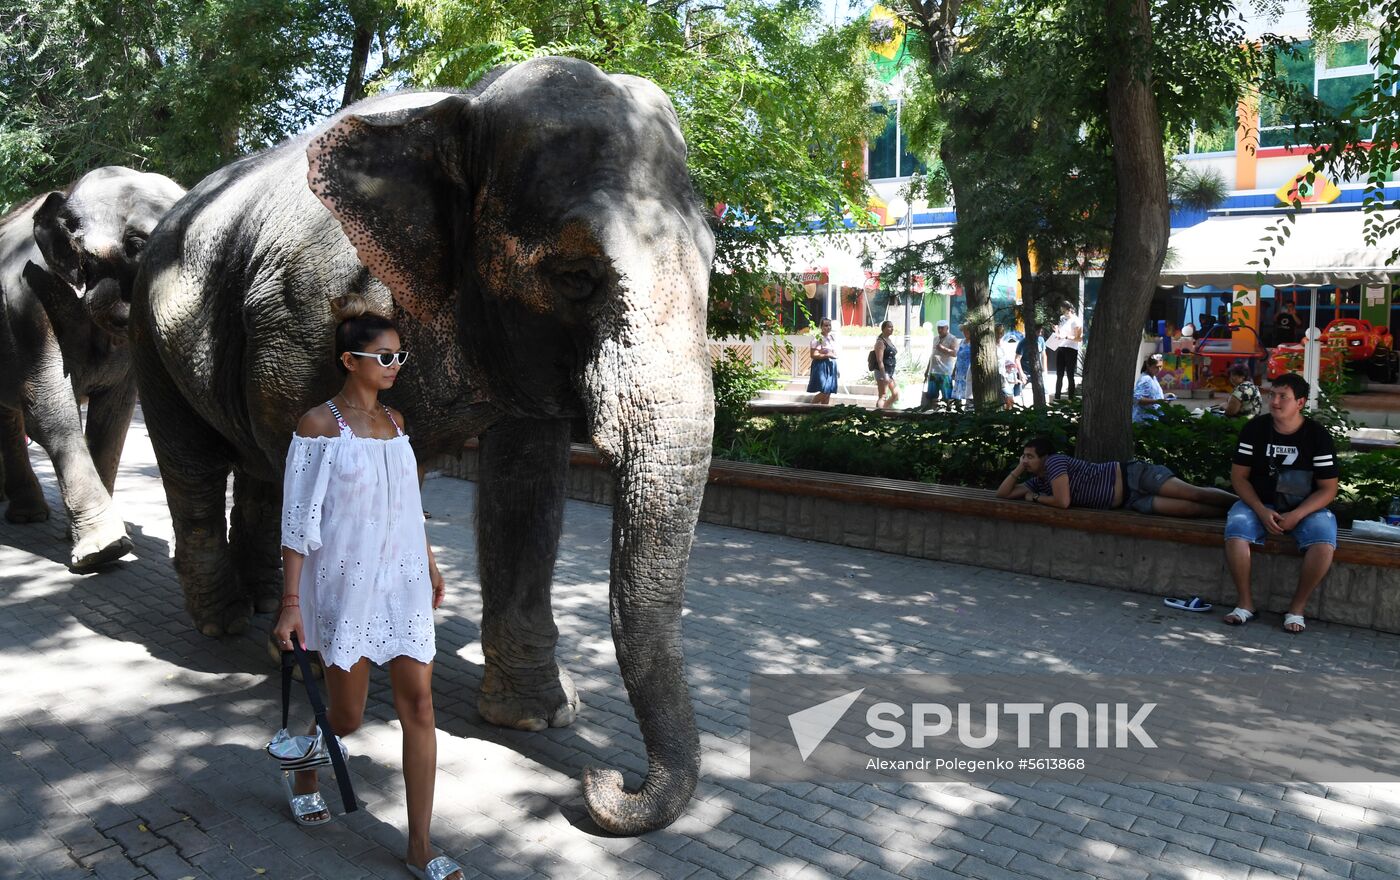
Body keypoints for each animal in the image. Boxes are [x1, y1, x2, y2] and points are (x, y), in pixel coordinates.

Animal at [0, 166, 185, 570]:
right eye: (135, 244)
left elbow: (114, 416)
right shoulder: (24, 301)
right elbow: (48, 408)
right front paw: (104, 550)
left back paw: (27, 514)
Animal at [130, 58, 715, 834]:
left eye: (712, 265)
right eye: (575, 277)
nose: (604, 781)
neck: (464, 110)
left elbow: (527, 485)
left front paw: (537, 719)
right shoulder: (301, 313)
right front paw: (326, 660)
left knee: (257, 470)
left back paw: (259, 611)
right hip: (147, 332)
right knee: (194, 465)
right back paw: (225, 624)